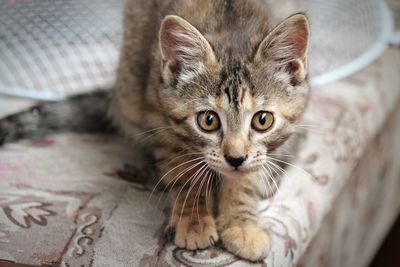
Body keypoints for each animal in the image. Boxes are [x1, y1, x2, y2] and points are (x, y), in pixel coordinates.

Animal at [0, 0, 310, 262]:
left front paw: (241, 223)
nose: (235, 158)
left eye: (262, 120)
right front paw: (193, 219)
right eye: (208, 120)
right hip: (129, 92)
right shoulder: (157, 113)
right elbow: (184, 172)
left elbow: (247, 178)